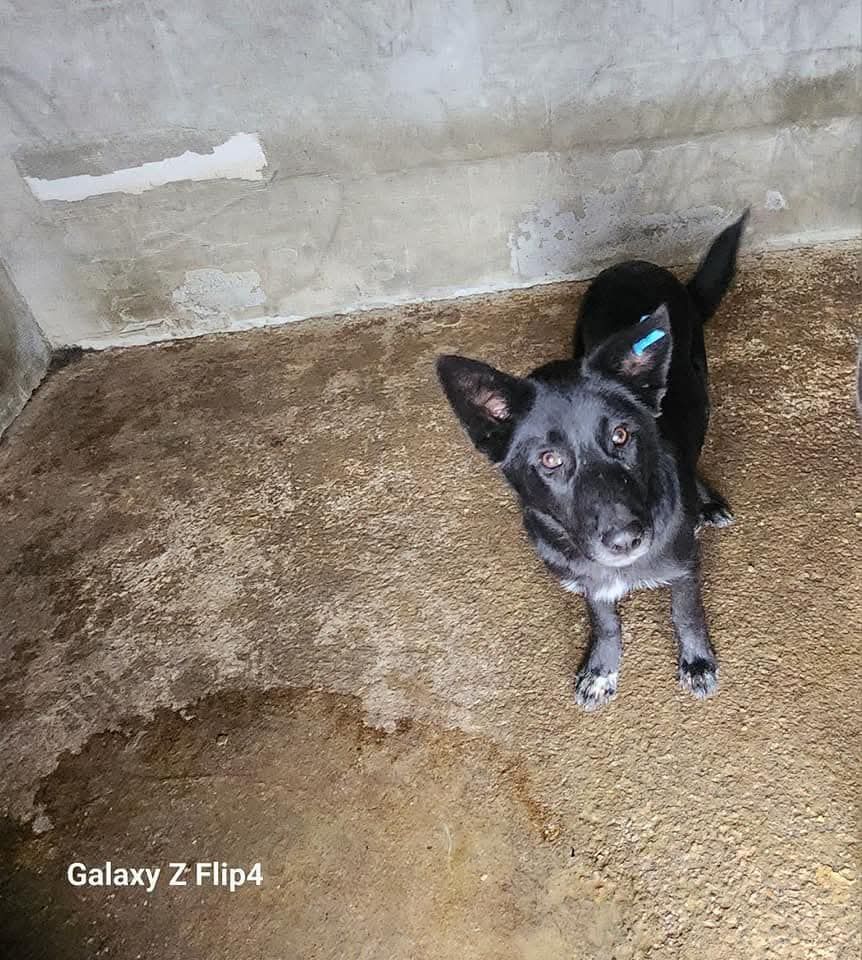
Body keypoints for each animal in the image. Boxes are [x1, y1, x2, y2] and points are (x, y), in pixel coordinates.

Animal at [436, 212, 747, 710]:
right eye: (549, 459)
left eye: (621, 435)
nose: (625, 539)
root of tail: (635, 263)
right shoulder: (587, 581)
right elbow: (605, 621)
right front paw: (602, 669)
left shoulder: (683, 567)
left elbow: (686, 612)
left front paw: (697, 661)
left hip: (699, 392)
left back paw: (706, 501)